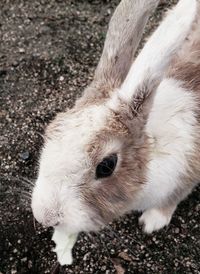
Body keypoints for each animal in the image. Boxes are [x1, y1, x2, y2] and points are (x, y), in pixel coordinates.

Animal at [31, 0, 200, 235]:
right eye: (50, 131)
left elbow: (172, 199)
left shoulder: (187, 172)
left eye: (106, 166)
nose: (46, 217)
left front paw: (151, 222)